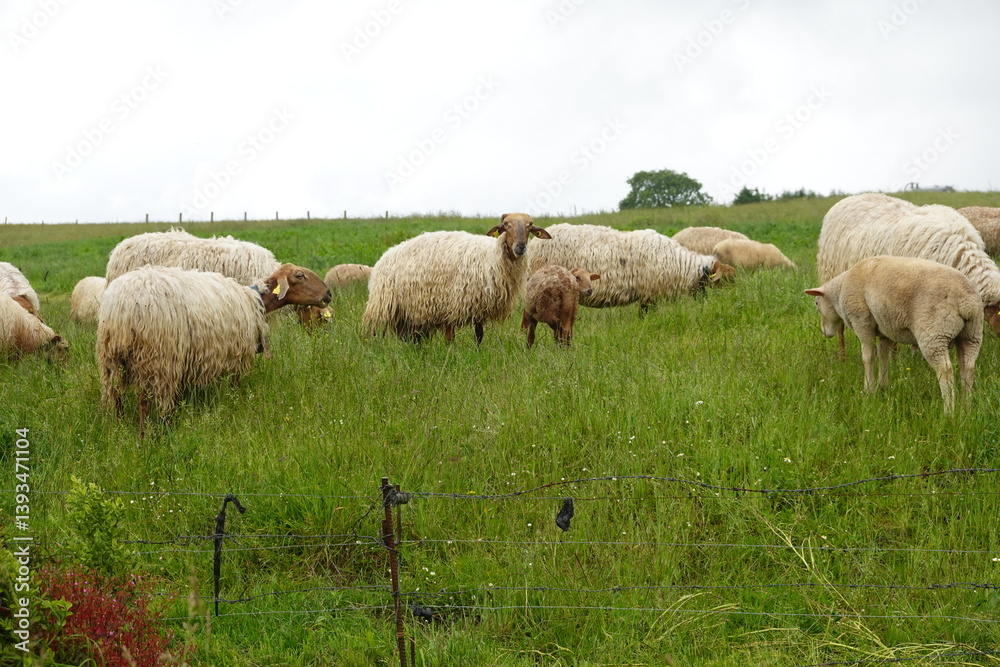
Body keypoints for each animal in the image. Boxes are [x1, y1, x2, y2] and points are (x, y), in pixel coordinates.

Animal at [97, 263, 331, 438]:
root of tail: (124, 307)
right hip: (159, 356)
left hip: (111, 359)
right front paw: (238, 405)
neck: (255, 300)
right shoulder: (238, 355)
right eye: (300, 275)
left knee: (115, 397)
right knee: (147, 402)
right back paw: (153, 436)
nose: (328, 294)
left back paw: (117, 429)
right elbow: (236, 385)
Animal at [362, 213, 551, 343]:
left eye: (530, 226)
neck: (491, 258)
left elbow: (479, 336)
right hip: (383, 304)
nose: (520, 247)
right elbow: (450, 338)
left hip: (408, 312)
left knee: (408, 336)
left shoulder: (478, 306)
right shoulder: (453, 304)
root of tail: (386, 255)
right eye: (506, 225)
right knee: (372, 329)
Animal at [805, 255, 982, 415]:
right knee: (968, 365)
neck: (841, 290)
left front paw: (869, 389)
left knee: (945, 370)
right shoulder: (885, 329)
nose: (825, 332)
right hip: (972, 334)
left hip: (934, 334)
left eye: (816, 303)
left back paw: (949, 412)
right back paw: (966, 406)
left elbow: (868, 357)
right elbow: (883, 355)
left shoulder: (862, 322)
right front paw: (883, 386)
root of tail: (966, 302)